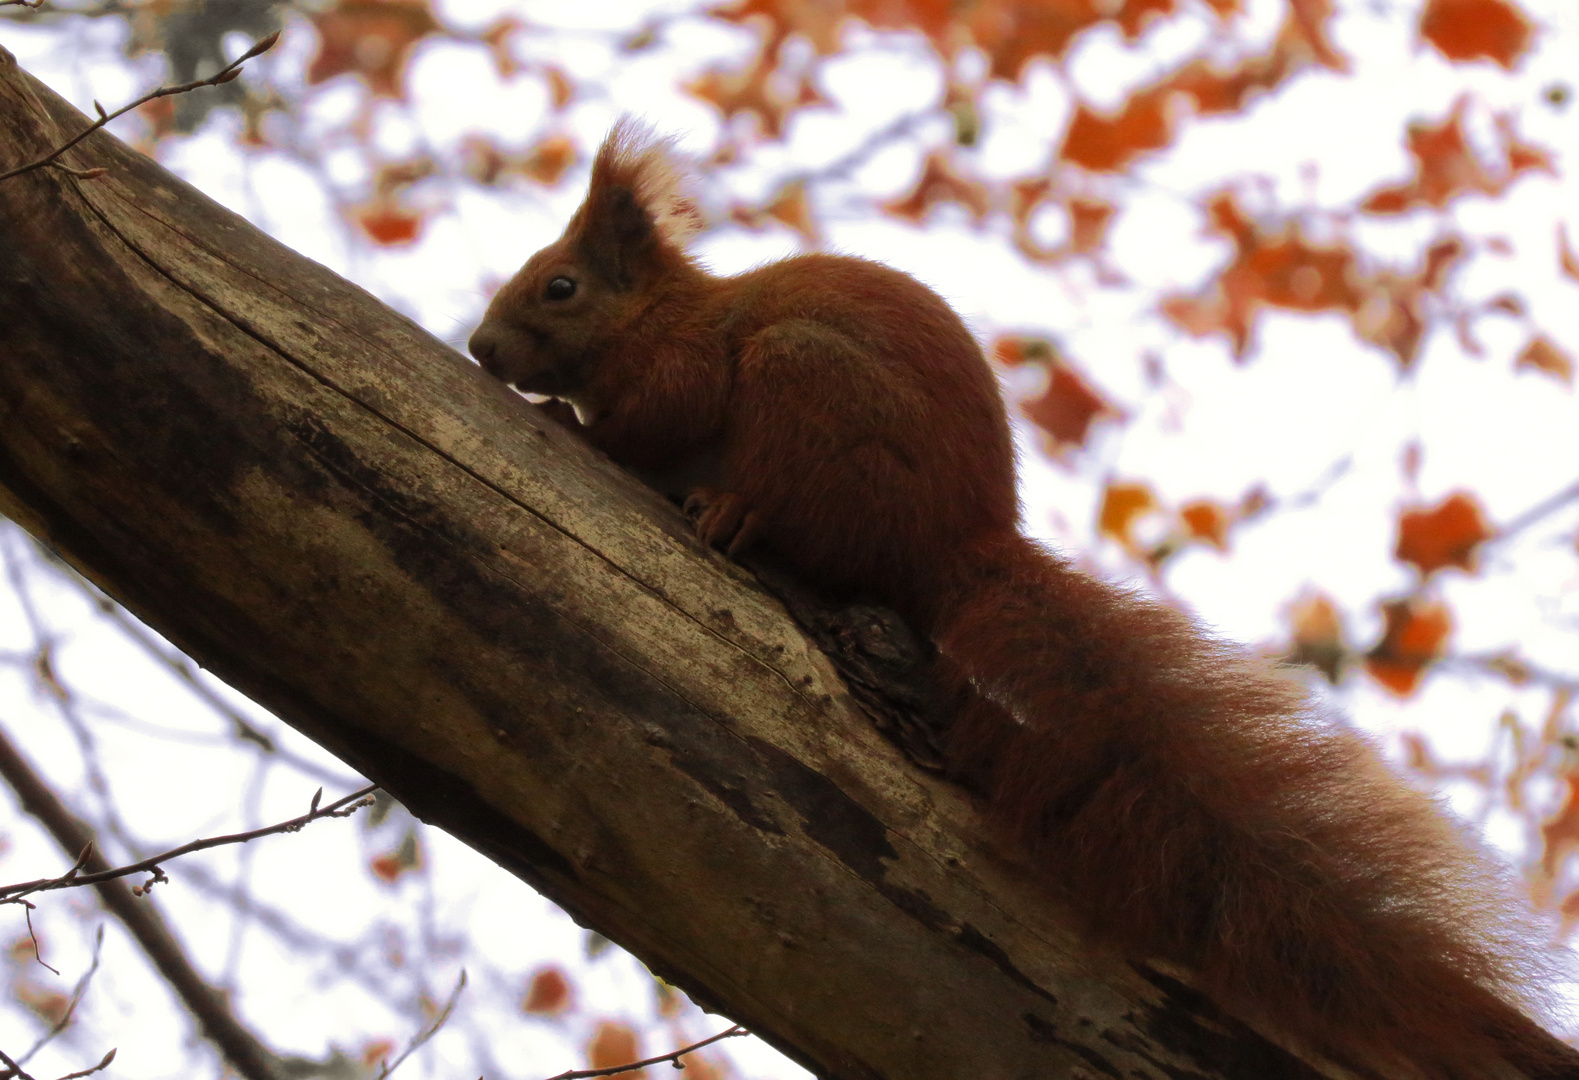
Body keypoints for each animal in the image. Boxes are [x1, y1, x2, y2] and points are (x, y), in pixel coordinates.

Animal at [461, 122, 1572, 1073]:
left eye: (559, 286)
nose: (479, 350)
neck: (658, 312)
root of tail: (959, 543)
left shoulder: (682, 366)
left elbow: (651, 417)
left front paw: (568, 414)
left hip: (805, 387)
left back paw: (733, 512)